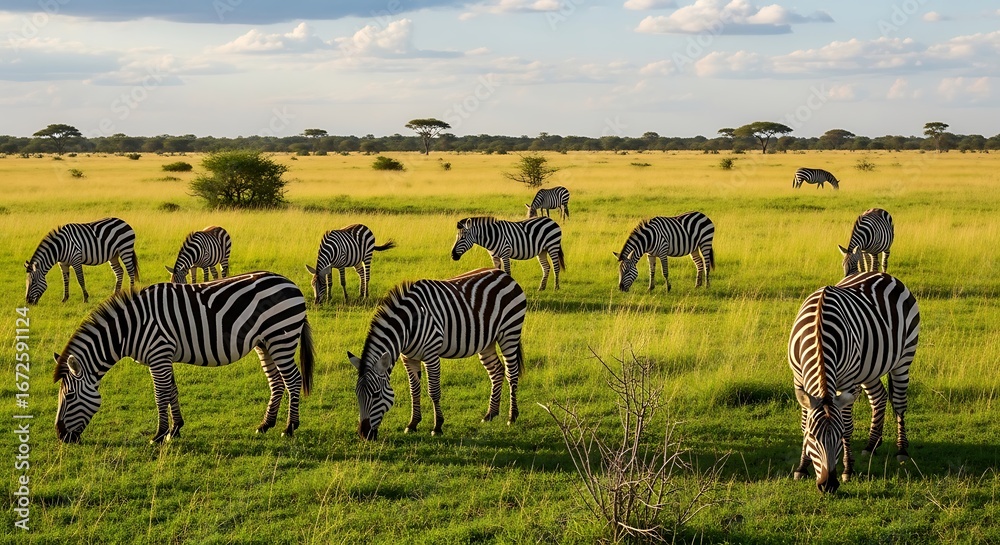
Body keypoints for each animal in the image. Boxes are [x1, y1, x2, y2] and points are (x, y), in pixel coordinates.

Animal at [52, 271, 314, 444]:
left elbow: (160, 395)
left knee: (292, 380)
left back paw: (290, 427)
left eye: (70, 396)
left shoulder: (158, 353)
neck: (129, 328)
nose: (61, 436)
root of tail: (291, 284)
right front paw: (175, 429)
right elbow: (172, 391)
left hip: (281, 336)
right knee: (276, 382)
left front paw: (159, 435)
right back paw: (265, 425)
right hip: (265, 343)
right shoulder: (164, 356)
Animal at [349, 268, 527, 440]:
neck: (409, 325)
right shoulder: (408, 358)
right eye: (357, 395)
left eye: (376, 395)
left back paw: (512, 417)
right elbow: (414, 391)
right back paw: (490, 414)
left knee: (511, 373)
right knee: (496, 371)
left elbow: (433, 391)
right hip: (487, 342)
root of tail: (504, 275)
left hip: (509, 332)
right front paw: (412, 424)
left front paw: (437, 426)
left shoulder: (431, 355)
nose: (364, 434)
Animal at [788, 272, 919, 493]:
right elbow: (804, 423)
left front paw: (848, 470)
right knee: (879, 398)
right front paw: (802, 467)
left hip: (904, 358)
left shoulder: (848, 382)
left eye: (839, 436)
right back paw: (871, 446)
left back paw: (901, 450)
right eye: (813, 437)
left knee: (900, 404)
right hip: (869, 369)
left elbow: (848, 425)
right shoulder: (799, 380)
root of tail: (882, 274)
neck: (819, 330)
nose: (828, 485)